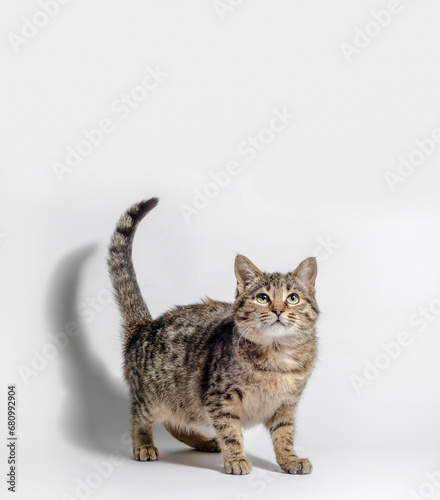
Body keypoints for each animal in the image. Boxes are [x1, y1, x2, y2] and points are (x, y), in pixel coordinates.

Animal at [108, 197, 318, 474]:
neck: (277, 356)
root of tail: (144, 326)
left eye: (292, 298)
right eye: (262, 298)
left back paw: (204, 442)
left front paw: (289, 459)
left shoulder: (286, 405)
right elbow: (230, 431)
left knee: (176, 424)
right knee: (139, 418)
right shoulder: (219, 399)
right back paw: (144, 444)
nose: (278, 310)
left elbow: (285, 434)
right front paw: (237, 459)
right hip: (154, 397)